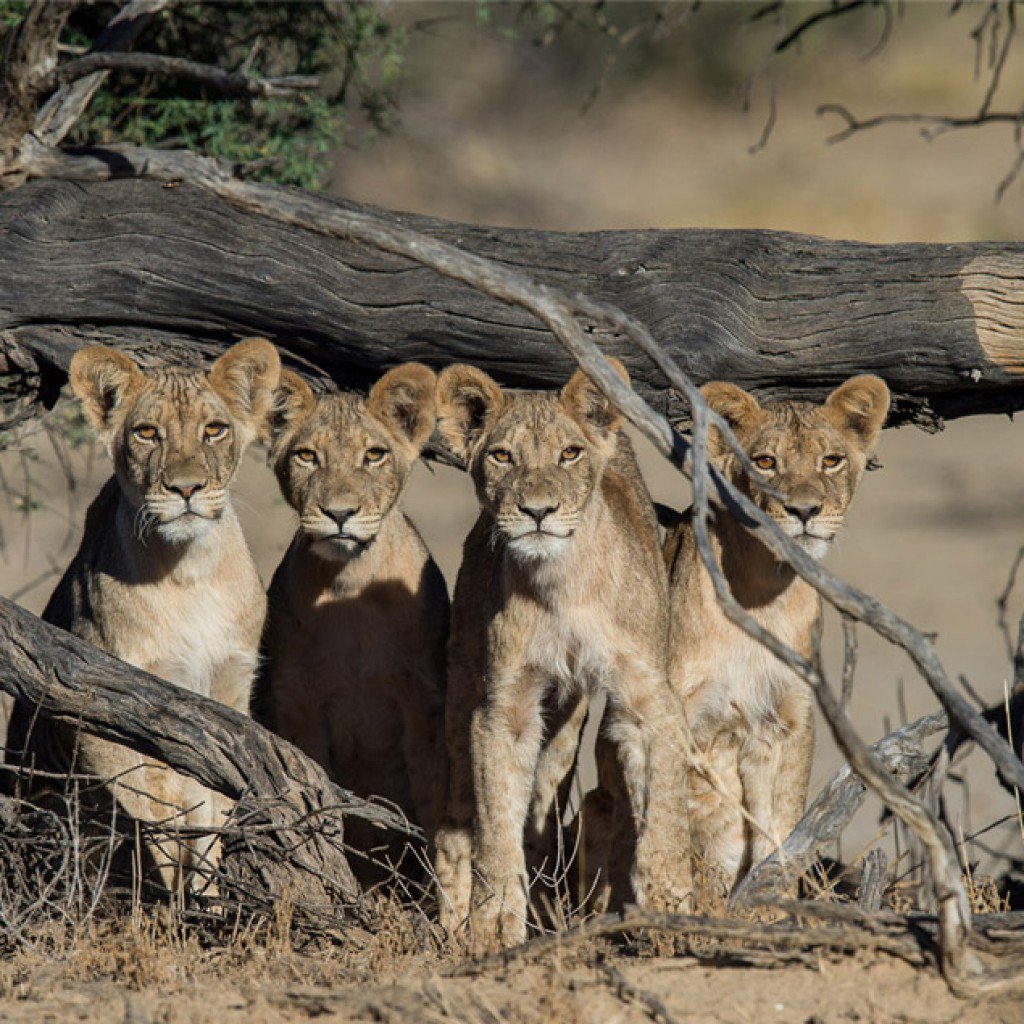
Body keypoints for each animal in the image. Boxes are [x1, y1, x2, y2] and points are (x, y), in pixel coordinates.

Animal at [5, 338, 281, 896]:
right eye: (147, 433)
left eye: (214, 430)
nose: (186, 489)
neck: (189, 572)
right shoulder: (101, 700)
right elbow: (154, 812)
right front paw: (170, 902)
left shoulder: (227, 701)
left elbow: (210, 818)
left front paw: (205, 905)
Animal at [257, 364, 449, 885]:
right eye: (307, 455)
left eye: (374, 455)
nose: (339, 514)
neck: (350, 586)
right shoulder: (300, 705)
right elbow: (321, 804)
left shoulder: (423, 707)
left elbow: (434, 813)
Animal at [432, 360, 692, 948]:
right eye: (502, 455)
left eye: (569, 453)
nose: (537, 511)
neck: (561, 586)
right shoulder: (502, 708)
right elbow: (494, 822)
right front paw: (494, 925)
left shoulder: (650, 699)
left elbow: (665, 809)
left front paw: (669, 904)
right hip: (463, 683)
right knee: (458, 815)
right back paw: (454, 920)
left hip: (567, 718)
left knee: (547, 800)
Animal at [664, 375, 890, 901]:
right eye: (765, 462)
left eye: (831, 460)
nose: (804, 511)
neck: (764, 592)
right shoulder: (683, 719)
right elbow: (683, 829)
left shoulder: (790, 719)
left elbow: (782, 827)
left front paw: (771, 904)